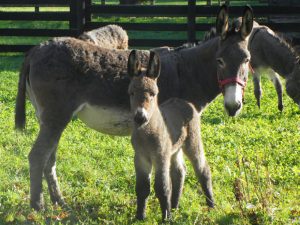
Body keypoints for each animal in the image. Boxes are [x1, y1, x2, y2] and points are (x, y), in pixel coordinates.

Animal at [127, 50, 214, 221]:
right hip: (175, 149)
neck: (146, 135)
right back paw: (174, 206)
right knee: (179, 172)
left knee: (202, 169)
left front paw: (166, 219)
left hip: (192, 141)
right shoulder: (140, 157)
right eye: (131, 93)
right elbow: (142, 187)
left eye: (153, 94)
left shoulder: (160, 156)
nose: (140, 117)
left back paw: (211, 205)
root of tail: (183, 101)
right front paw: (140, 216)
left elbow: (162, 187)